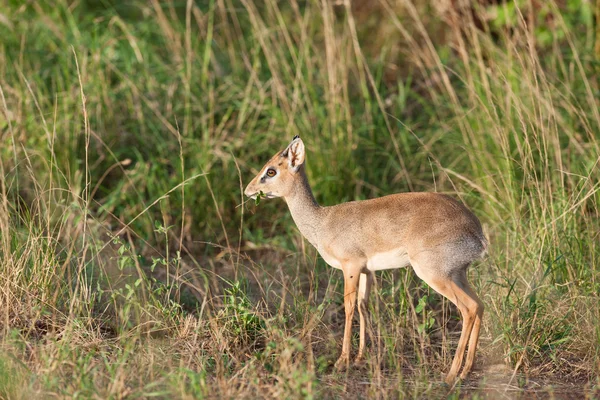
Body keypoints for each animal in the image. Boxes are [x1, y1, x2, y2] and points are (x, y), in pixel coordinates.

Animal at [244, 136, 488, 382]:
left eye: (271, 171)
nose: (248, 191)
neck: (323, 222)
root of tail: (476, 232)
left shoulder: (350, 266)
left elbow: (349, 307)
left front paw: (342, 360)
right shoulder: (366, 271)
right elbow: (363, 306)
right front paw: (360, 358)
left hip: (434, 275)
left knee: (468, 308)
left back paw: (451, 374)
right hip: (458, 275)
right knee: (479, 305)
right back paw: (467, 369)